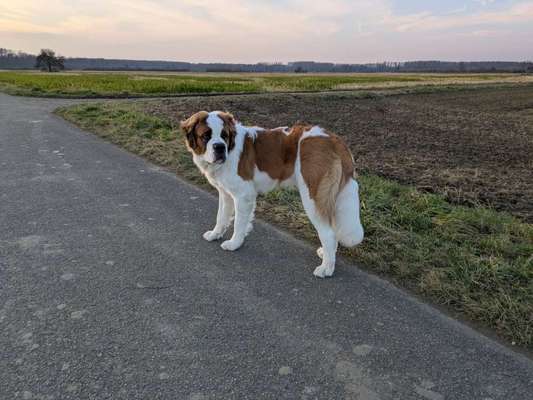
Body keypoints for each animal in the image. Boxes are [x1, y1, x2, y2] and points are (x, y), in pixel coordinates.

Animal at [181, 111, 364, 276]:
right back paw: (326, 254)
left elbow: (238, 223)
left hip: (313, 197)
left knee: (328, 233)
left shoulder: (244, 195)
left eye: (224, 136)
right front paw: (215, 234)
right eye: (206, 136)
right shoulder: (226, 194)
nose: (219, 147)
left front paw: (234, 243)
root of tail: (334, 139)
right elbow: (221, 217)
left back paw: (326, 268)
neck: (231, 150)